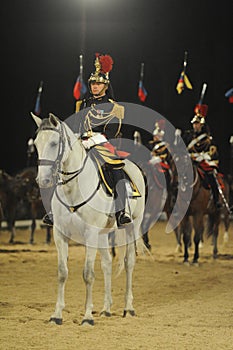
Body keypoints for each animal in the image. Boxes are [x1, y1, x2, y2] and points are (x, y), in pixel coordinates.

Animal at [31, 112, 147, 326]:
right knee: (107, 264)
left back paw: (128, 308)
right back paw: (106, 309)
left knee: (129, 263)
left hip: (132, 227)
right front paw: (56, 315)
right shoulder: (60, 234)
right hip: (103, 234)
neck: (73, 188)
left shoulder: (90, 234)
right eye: (36, 144)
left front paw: (87, 317)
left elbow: (88, 274)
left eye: (54, 143)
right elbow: (62, 272)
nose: (42, 180)